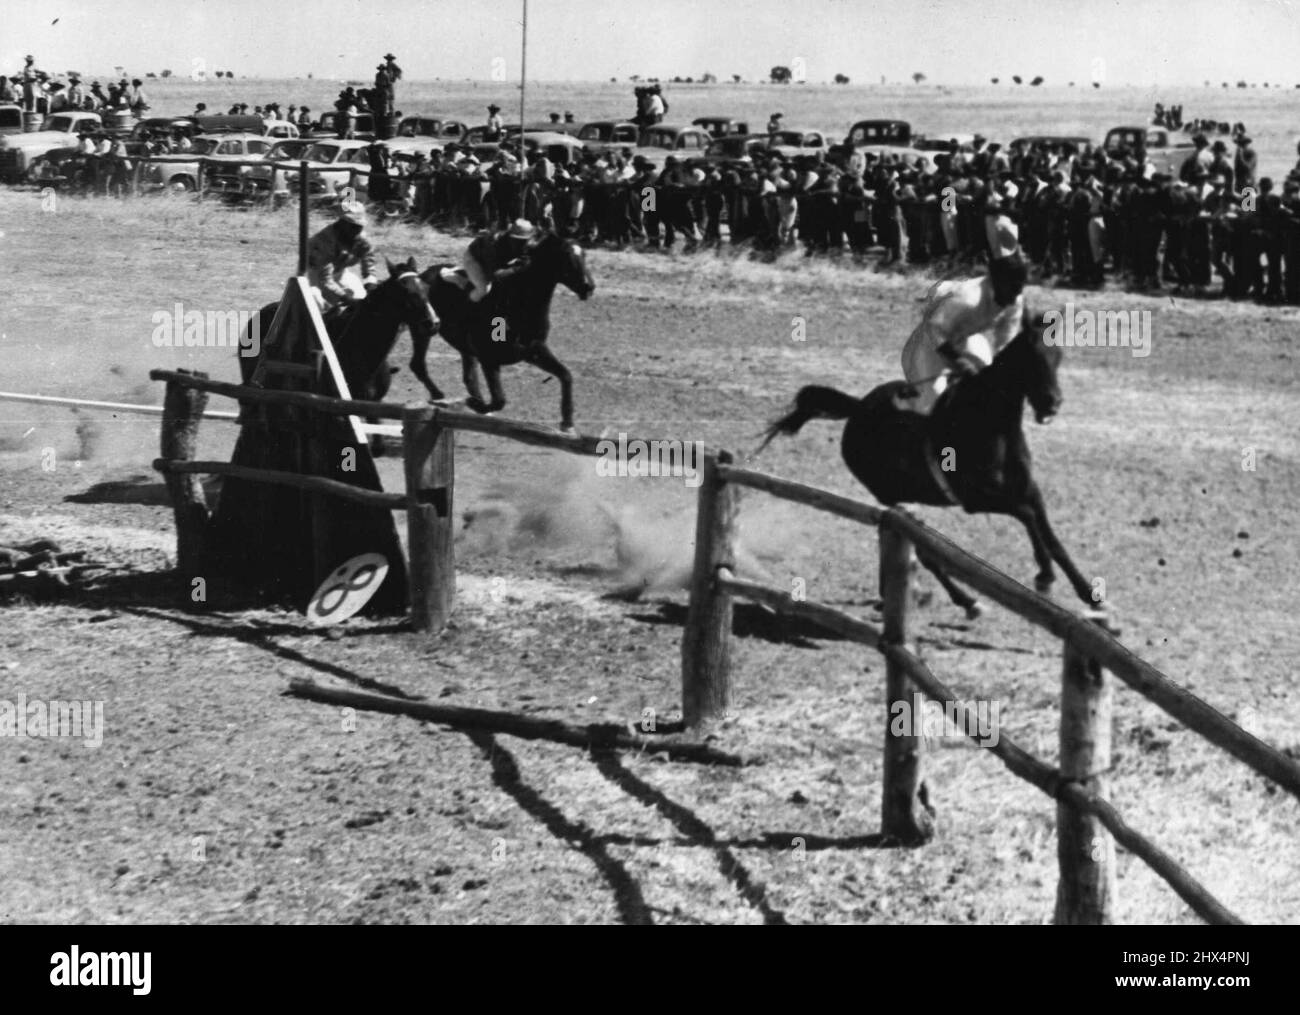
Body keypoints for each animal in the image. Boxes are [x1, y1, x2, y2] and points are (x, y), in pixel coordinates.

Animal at [421, 230, 595, 431]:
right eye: (566, 257)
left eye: (584, 255)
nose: (588, 287)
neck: (517, 306)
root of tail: (424, 273)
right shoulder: (488, 359)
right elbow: (499, 400)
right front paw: (475, 405)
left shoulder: (534, 351)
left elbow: (566, 375)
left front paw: (567, 422)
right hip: (423, 330)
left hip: (463, 346)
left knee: (468, 375)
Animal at [759, 313, 1092, 618]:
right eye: (1031, 359)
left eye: (1057, 357)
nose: (1052, 404)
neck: (992, 426)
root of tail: (857, 408)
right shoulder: (977, 499)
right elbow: (1027, 517)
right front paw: (1045, 576)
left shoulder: (1029, 490)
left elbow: (1051, 538)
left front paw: (1091, 596)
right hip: (890, 495)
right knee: (922, 551)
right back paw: (967, 602)